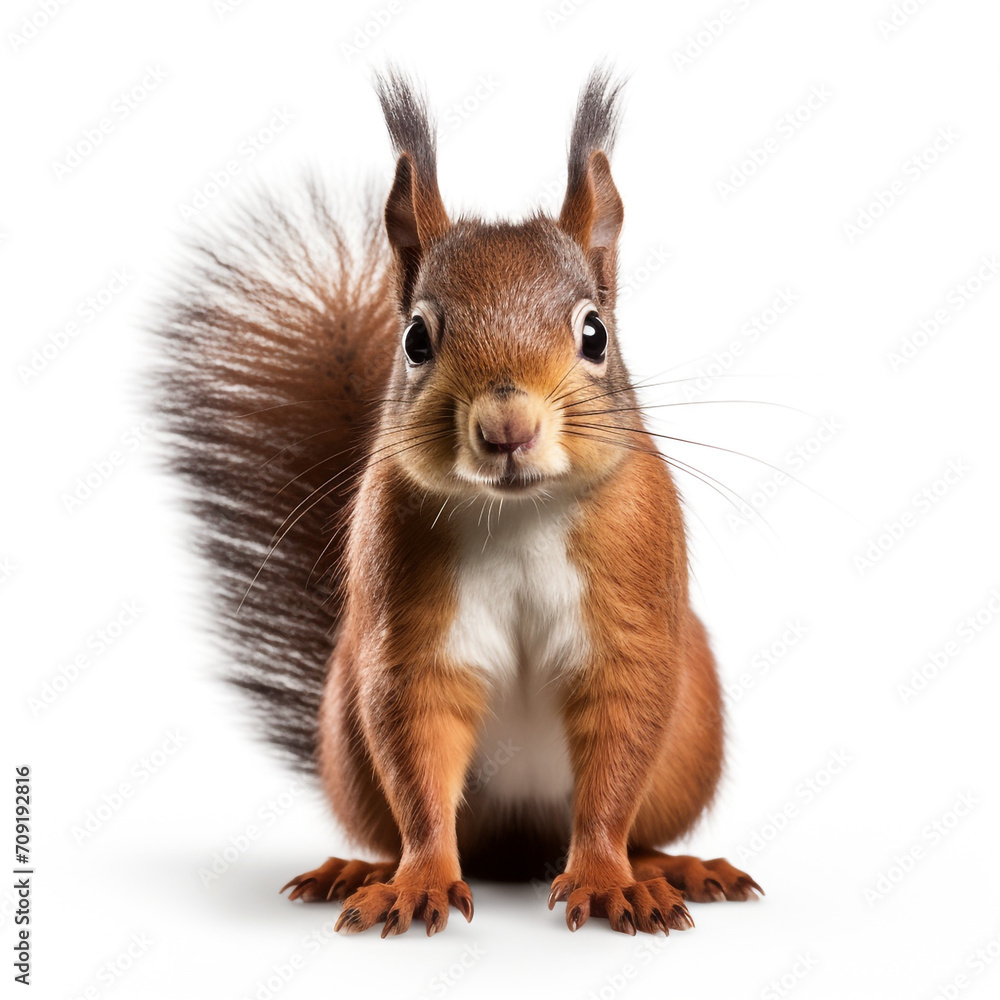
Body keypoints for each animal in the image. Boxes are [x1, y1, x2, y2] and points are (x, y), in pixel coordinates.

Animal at [156, 67, 762, 938]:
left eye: (595, 333)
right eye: (415, 339)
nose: (508, 427)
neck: (517, 515)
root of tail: (520, 849)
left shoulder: (632, 612)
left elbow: (615, 765)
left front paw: (606, 880)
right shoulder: (408, 638)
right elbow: (419, 769)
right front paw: (419, 883)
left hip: (690, 733)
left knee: (638, 821)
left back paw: (671, 868)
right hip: (347, 733)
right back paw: (360, 869)